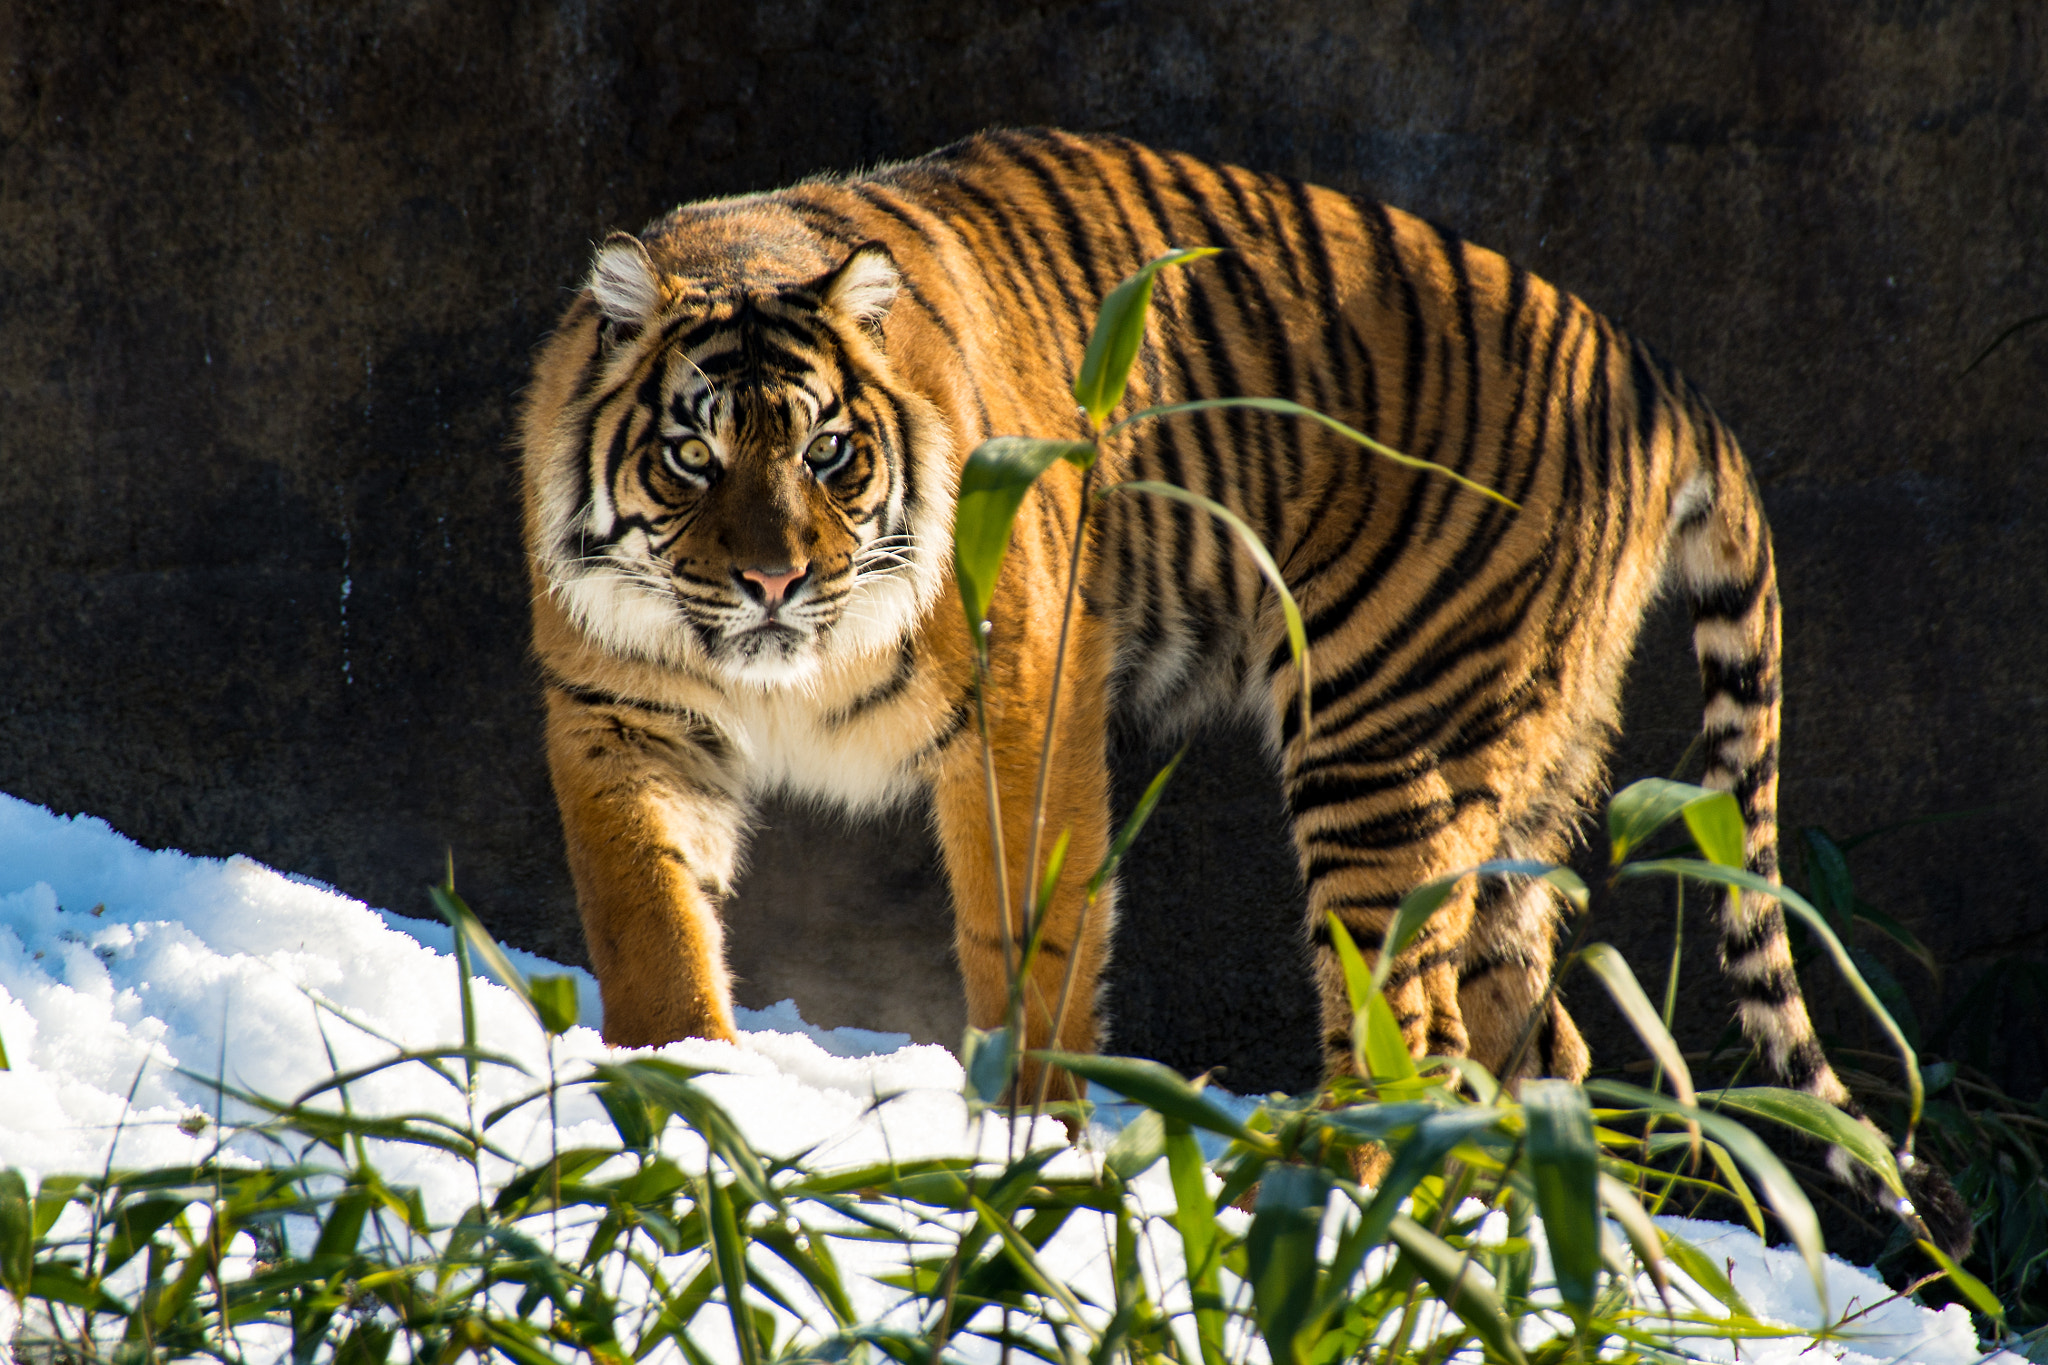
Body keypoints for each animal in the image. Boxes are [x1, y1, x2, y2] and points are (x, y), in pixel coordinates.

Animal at [520, 127, 1965, 1250]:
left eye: (827, 453)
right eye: (694, 456)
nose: (771, 579)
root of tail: (1654, 378)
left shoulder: (1023, 705)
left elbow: (1026, 930)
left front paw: (1027, 1136)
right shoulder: (621, 719)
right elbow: (646, 911)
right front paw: (682, 1097)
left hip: (1385, 742)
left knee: (1410, 1029)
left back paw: (1321, 1203)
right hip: (1523, 771)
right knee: (1532, 1040)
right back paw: (1509, 1241)